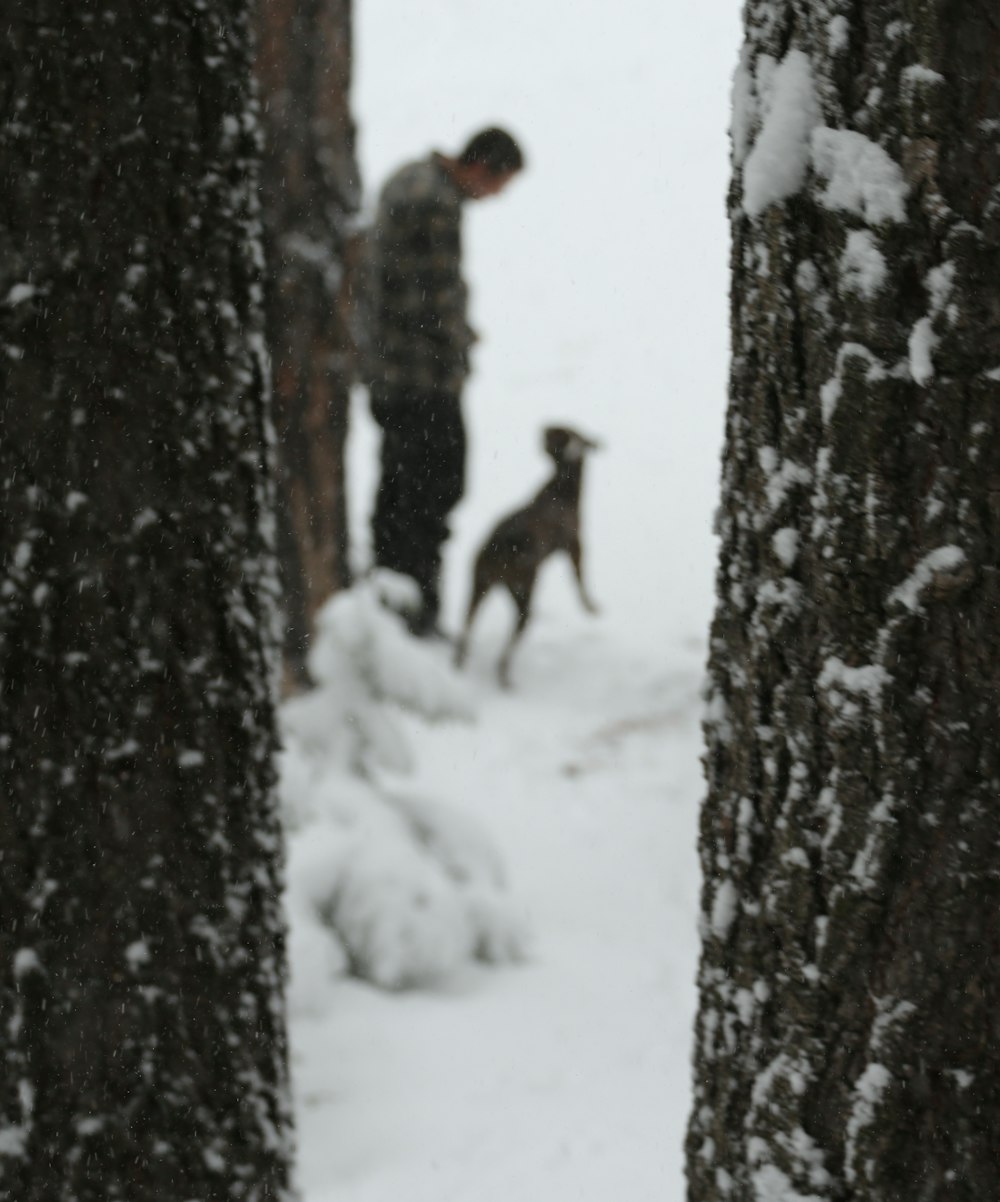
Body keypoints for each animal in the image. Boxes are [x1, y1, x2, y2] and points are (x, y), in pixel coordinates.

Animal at [454, 425, 600, 687]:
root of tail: (501, 546)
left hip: (479, 580)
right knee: (512, 637)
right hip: (523, 589)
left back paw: (460, 660)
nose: (544, 427)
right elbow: (580, 580)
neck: (562, 487)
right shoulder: (575, 546)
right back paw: (504, 676)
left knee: (468, 621)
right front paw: (592, 608)